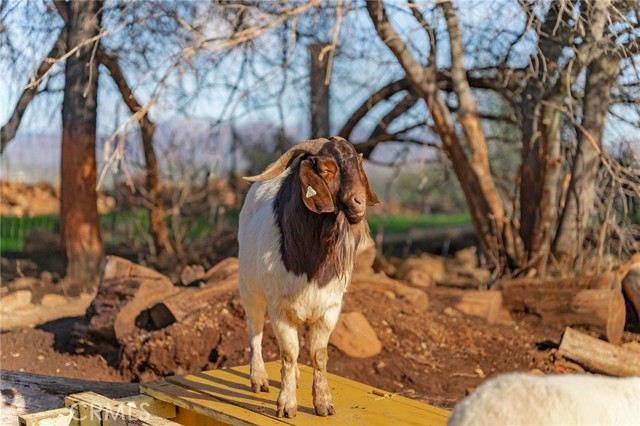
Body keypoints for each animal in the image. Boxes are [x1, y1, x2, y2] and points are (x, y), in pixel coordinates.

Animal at [240, 137, 380, 420]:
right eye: (326, 169)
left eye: (357, 166)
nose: (359, 202)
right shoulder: (280, 307)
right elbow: (288, 353)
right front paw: (286, 405)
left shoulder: (329, 307)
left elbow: (319, 354)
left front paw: (323, 403)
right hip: (250, 290)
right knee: (255, 332)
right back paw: (259, 378)